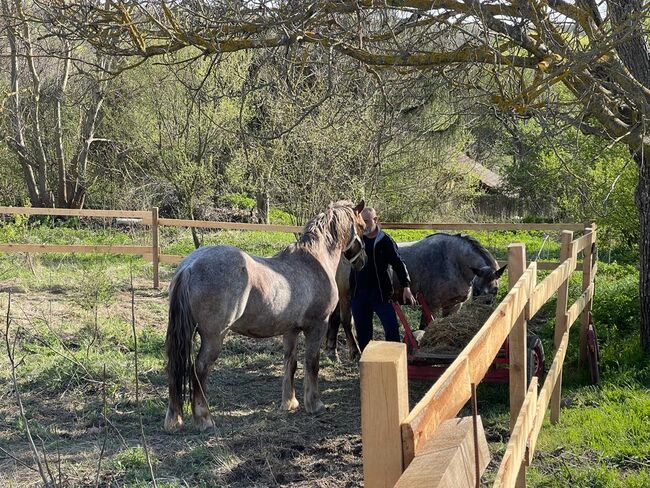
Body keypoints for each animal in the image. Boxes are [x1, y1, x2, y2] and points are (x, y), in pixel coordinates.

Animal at [165, 200, 368, 428]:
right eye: (362, 226)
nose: (363, 260)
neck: (315, 261)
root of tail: (189, 267)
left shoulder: (291, 330)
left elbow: (291, 363)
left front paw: (289, 402)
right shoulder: (317, 326)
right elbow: (312, 363)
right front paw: (314, 404)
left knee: (174, 368)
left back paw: (174, 419)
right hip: (213, 337)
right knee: (199, 369)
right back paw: (204, 419)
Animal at [324, 233, 506, 362]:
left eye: (495, 290)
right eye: (477, 290)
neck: (453, 261)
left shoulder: (454, 306)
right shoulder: (431, 304)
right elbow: (425, 327)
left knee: (335, 319)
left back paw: (332, 353)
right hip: (346, 297)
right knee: (346, 322)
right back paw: (355, 353)